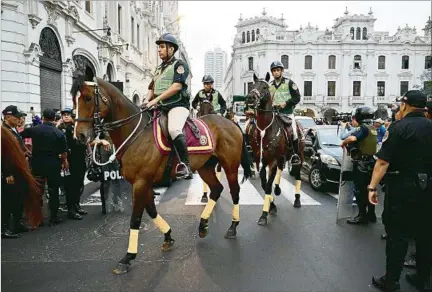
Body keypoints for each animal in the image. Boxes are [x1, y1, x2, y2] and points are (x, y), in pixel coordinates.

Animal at [71, 72, 253, 274]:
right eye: (73, 99)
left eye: (87, 98)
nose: (79, 135)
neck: (136, 133)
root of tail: (231, 123)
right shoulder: (144, 183)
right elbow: (151, 210)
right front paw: (168, 236)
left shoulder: (141, 182)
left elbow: (135, 219)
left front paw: (128, 257)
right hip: (205, 166)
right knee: (216, 189)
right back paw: (203, 225)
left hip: (230, 165)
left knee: (234, 192)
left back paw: (233, 227)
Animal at [245, 72, 306, 226]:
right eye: (252, 86)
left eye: (265, 87)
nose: (250, 98)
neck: (264, 129)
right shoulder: (260, 160)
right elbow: (264, 183)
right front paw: (272, 206)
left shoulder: (271, 160)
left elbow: (267, 185)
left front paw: (264, 214)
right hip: (282, 157)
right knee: (280, 169)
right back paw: (278, 189)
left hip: (299, 157)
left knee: (297, 175)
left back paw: (297, 200)